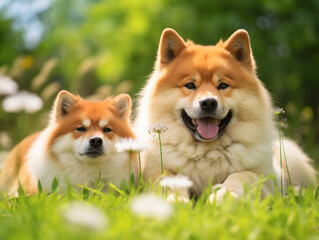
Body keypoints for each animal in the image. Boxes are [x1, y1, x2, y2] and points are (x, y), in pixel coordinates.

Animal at [136, 27, 318, 201]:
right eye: (190, 85)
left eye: (223, 85)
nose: (209, 102)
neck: (206, 151)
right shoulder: (158, 169)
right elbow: (170, 182)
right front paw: (176, 200)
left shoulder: (264, 175)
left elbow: (238, 176)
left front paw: (222, 197)